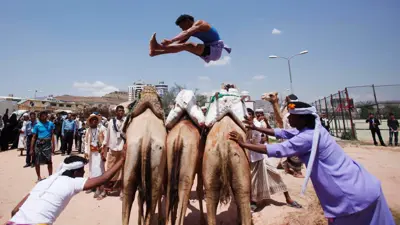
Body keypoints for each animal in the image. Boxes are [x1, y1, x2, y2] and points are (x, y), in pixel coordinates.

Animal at [164, 89, 206, 225]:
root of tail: (178, 138)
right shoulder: (199, 165)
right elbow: (199, 190)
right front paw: (202, 220)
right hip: (186, 170)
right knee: (183, 190)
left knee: (171, 190)